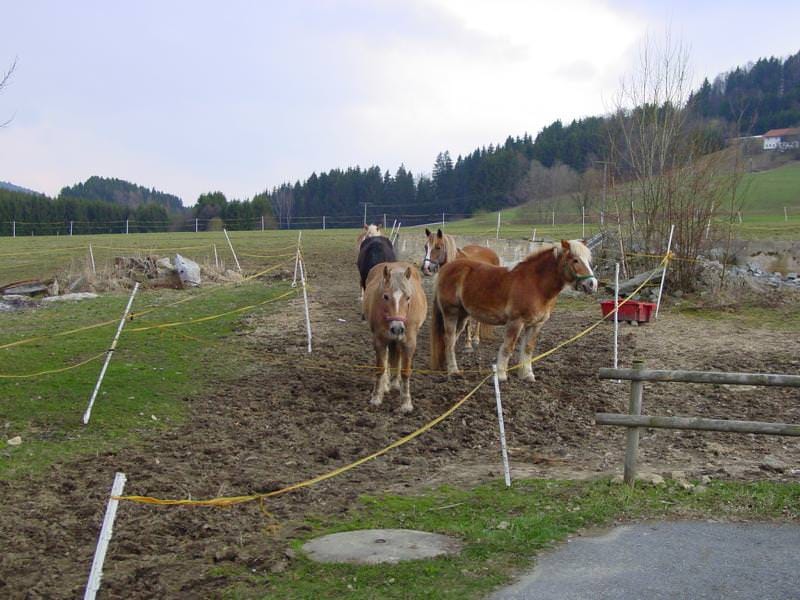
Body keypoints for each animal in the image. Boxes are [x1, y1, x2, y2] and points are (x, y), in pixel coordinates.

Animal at [363, 262, 427, 413]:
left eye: (408, 297)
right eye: (385, 296)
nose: (397, 328)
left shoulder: (409, 342)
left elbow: (405, 371)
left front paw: (406, 403)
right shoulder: (379, 340)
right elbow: (381, 368)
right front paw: (376, 396)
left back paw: (395, 383)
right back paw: (387, 384)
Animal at [431, 239, 598, 382]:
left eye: (588, 260)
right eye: (575, 260)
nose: (592, 284)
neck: (535, 284)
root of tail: (446, 269)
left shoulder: (536, 324)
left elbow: (528, 349)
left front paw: (527, 375)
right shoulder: (516, 322)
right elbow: (507, 348)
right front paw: (500, 375)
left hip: (463, 315)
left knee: (452, 339)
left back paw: (448, 367)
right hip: (451, 313)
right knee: (449, 338)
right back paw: (453, 372)